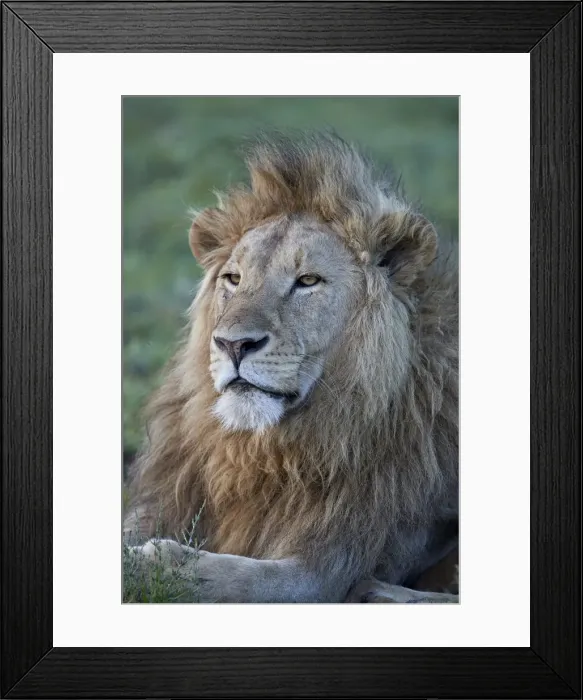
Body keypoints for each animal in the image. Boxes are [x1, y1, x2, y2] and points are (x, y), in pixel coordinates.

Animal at [124, 131, 459, 603]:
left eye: (308, 282)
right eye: (234, 279)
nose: (234, 344)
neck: (262, 453)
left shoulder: (319, 573)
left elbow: (224, 575)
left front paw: (147, 563)